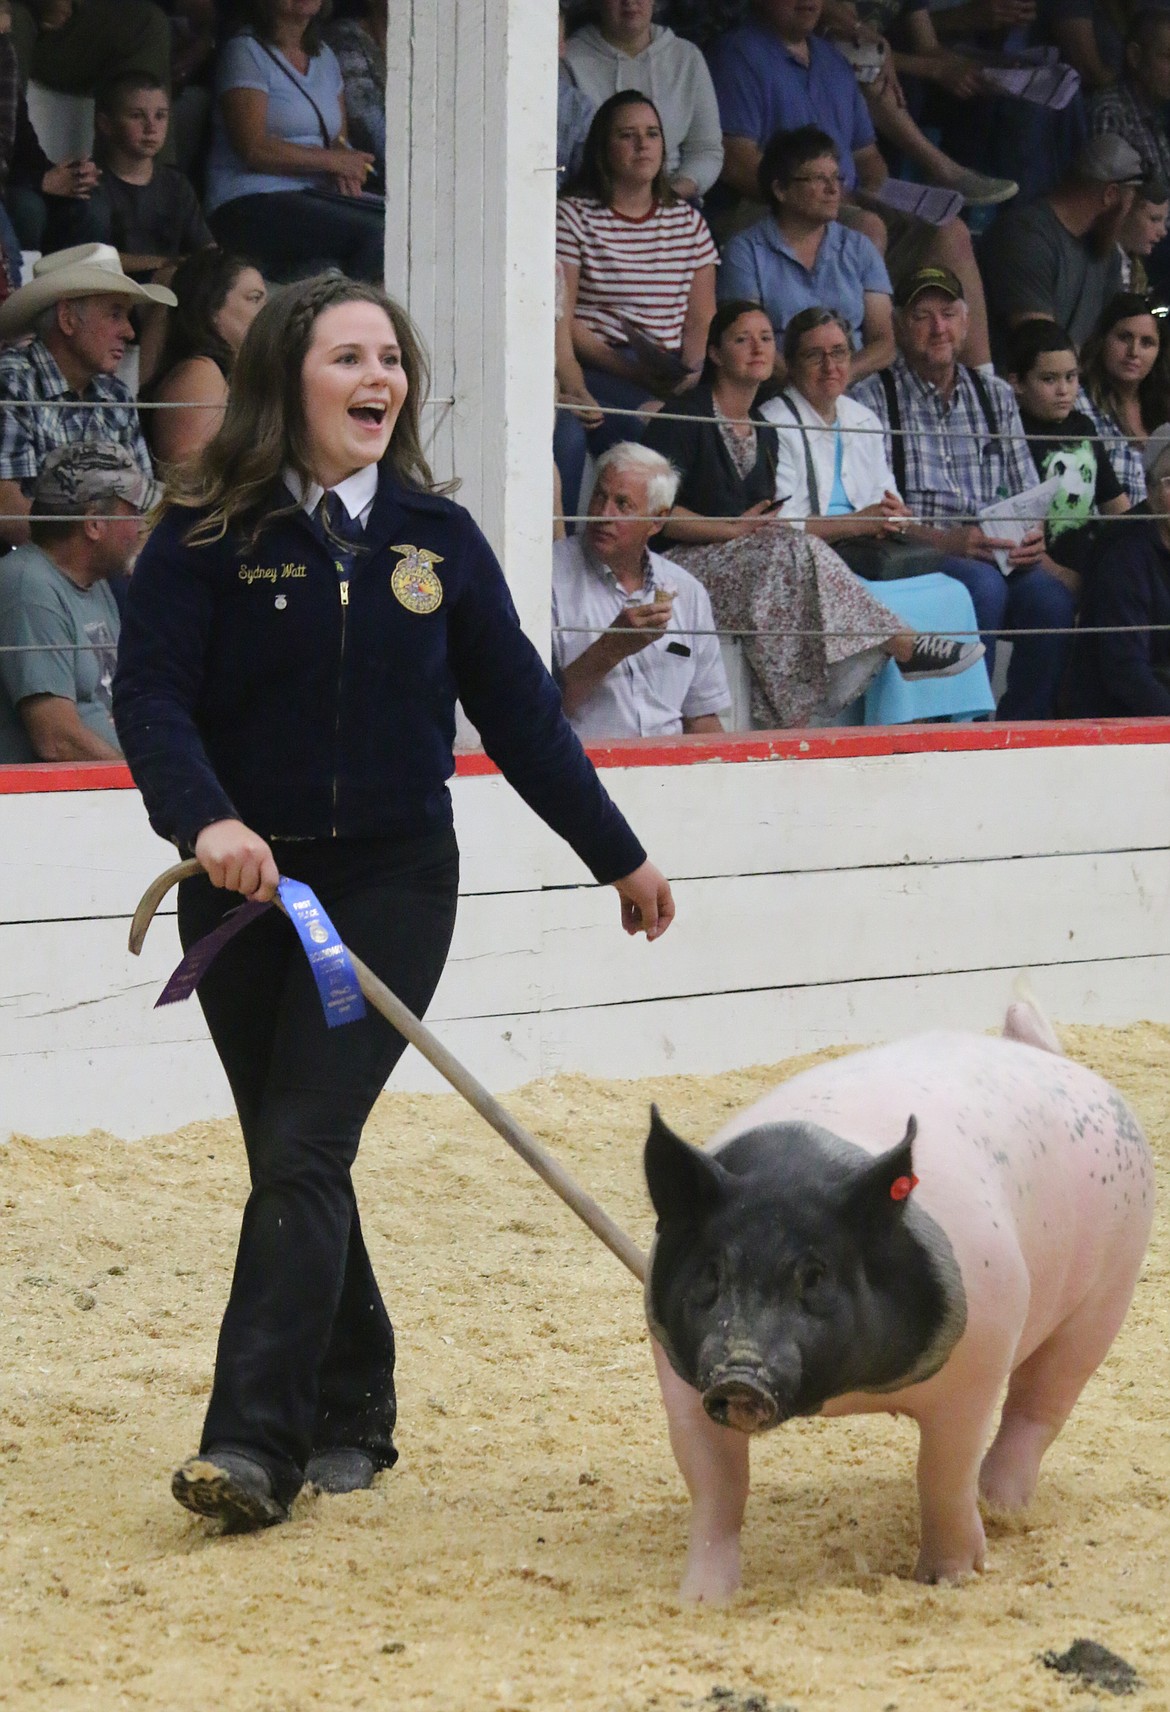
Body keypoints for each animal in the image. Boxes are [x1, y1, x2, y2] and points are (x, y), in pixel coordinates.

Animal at [644, 999, 1158, 1602]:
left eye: (816, 1276)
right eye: (712, 1272)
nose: (741, 1375)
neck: (845, 1393)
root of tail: (1049, 1055)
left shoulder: (981, 1358)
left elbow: (941, 1474)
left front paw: (949, 1578)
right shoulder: (682, 1373)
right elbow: (716, 1484)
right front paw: (701, 1603)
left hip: (1108, 1290)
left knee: (1040, 1406)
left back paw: (1001, 1507)